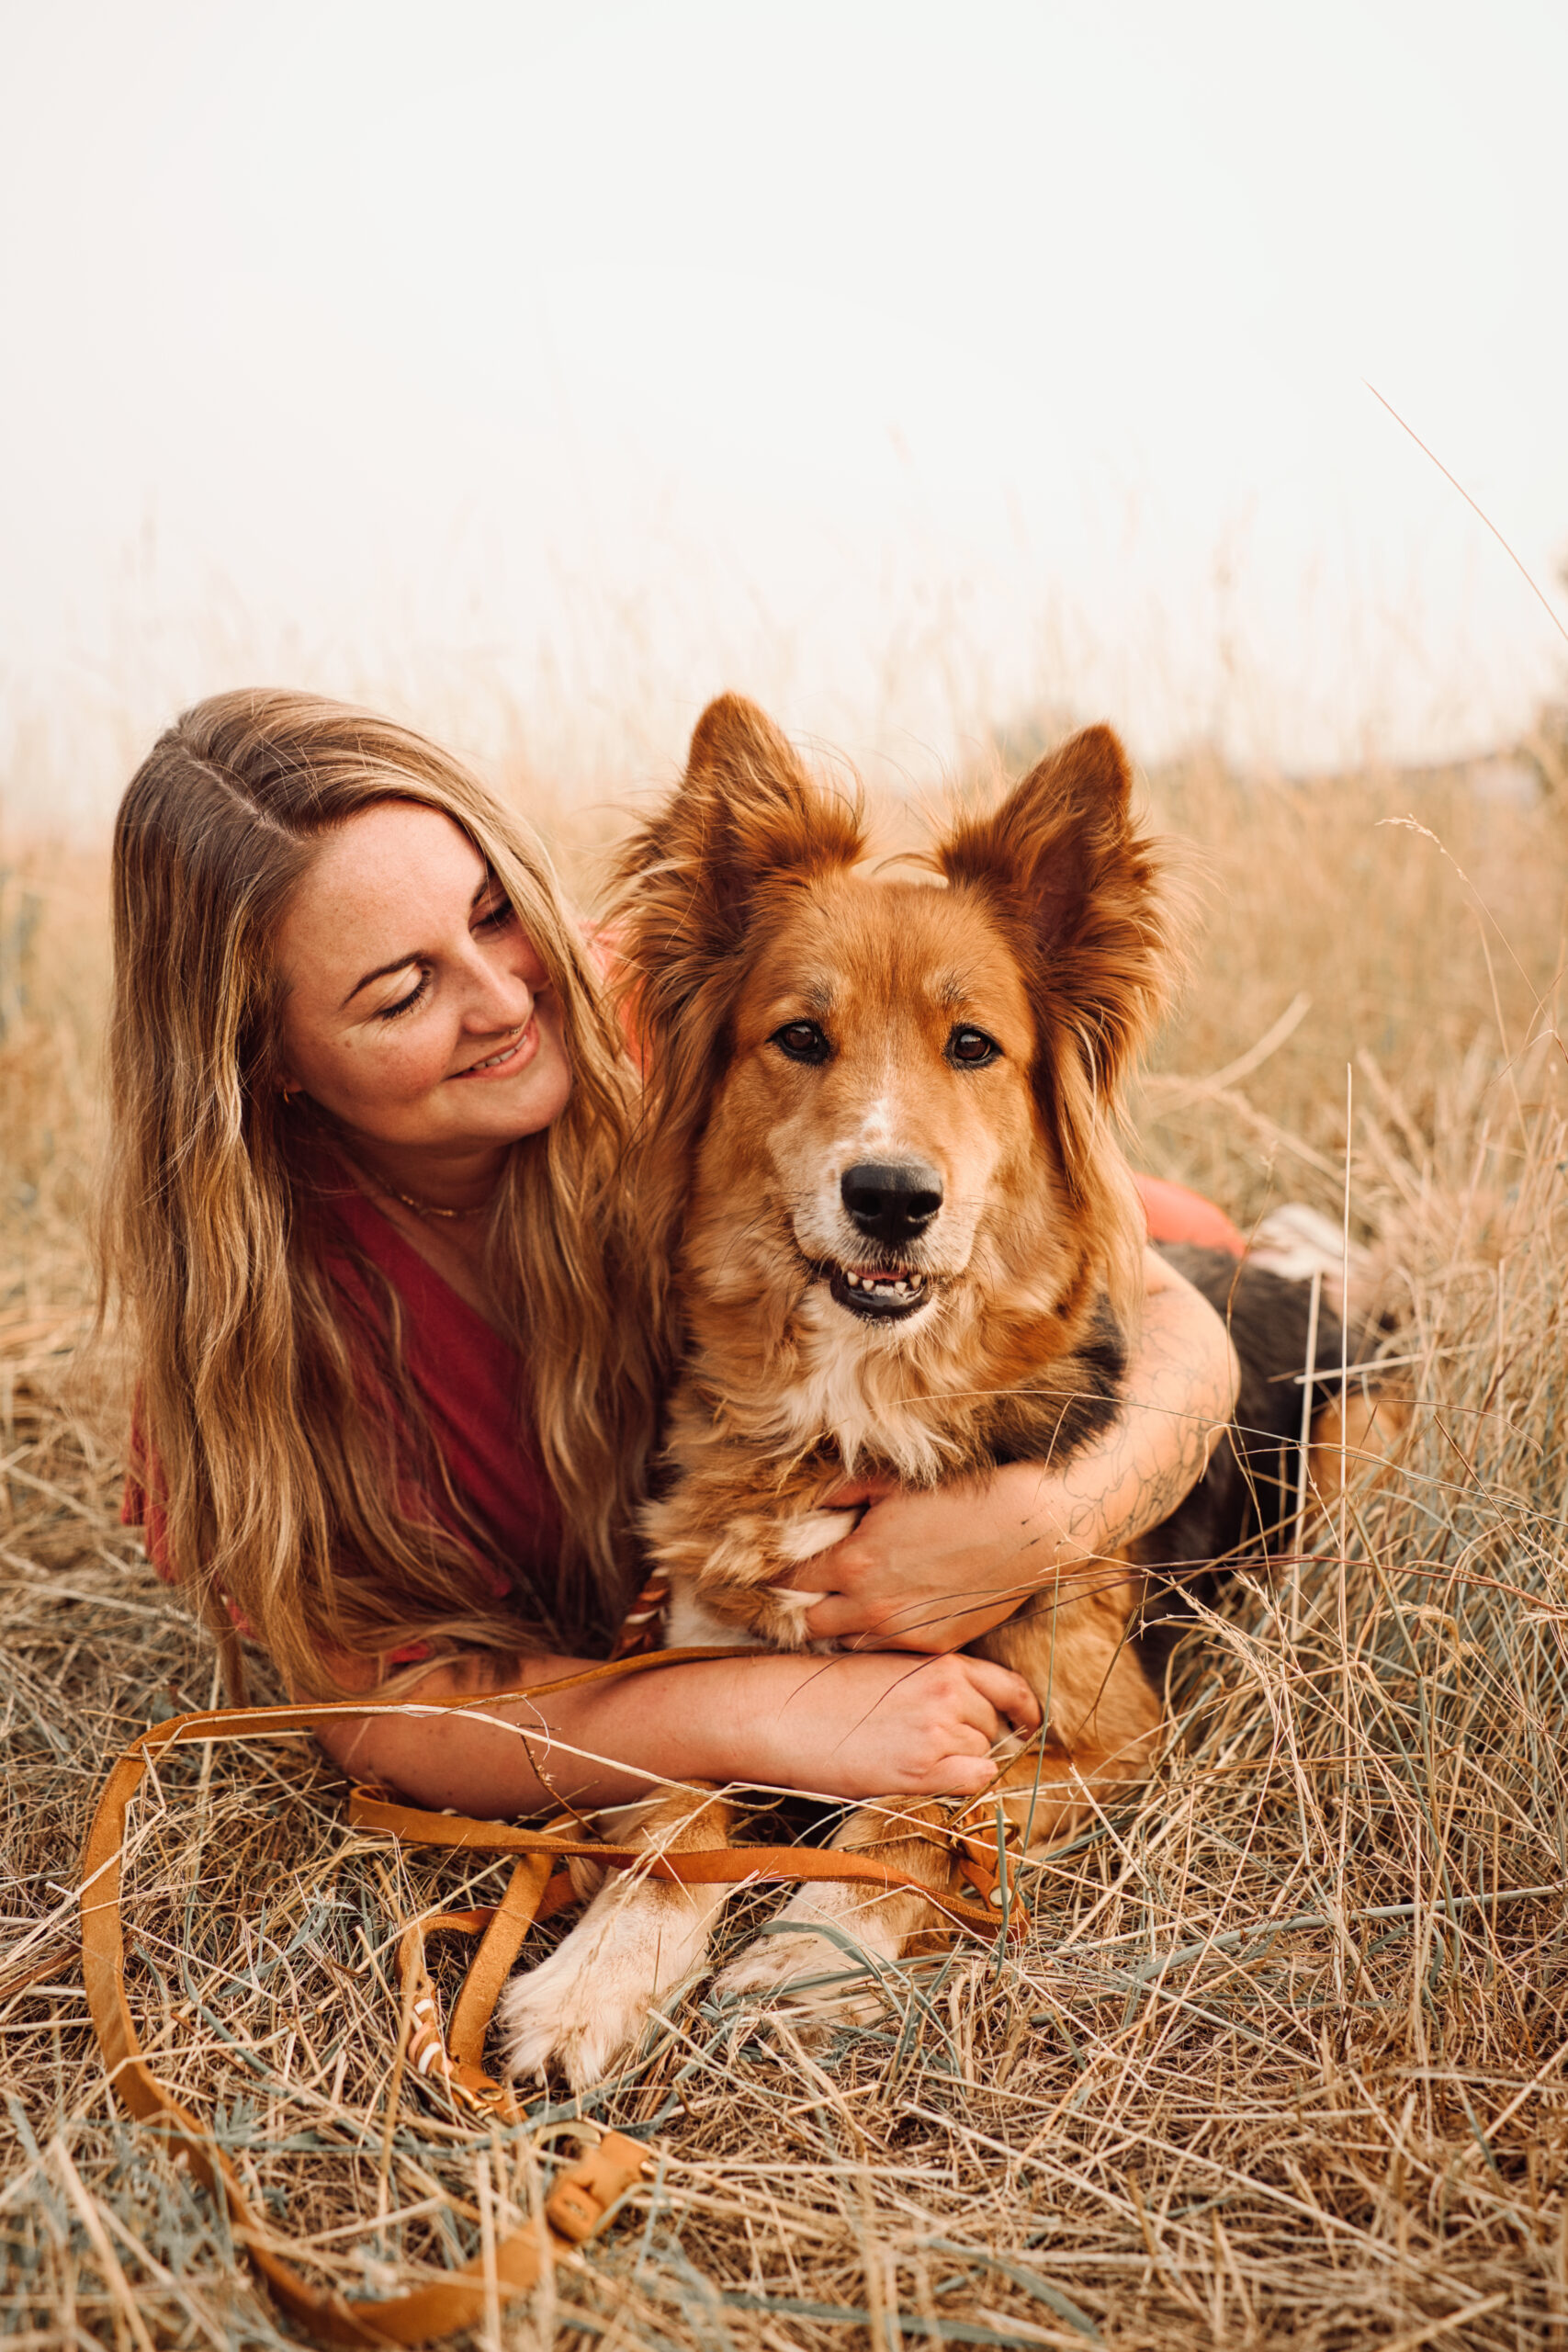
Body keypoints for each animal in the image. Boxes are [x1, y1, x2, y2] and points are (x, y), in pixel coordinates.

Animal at [501, 686, 1382, 2088]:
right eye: (799, 1037)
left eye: (973, 1046)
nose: (891, 1198)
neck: (860, 1411)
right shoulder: (700, 1668)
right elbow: (674, 1833)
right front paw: (589, 1983)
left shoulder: (1105, 1731)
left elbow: (933, 1800)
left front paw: (815, 1948)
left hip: (1360, 1435)